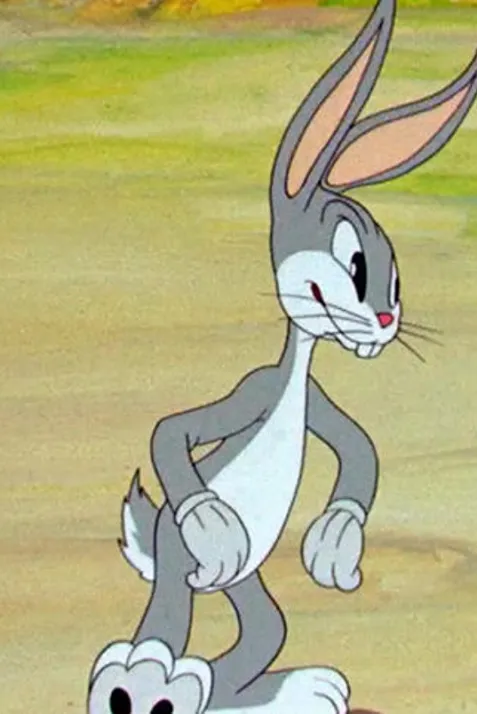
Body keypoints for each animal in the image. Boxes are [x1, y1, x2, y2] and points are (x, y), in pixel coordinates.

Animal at [87, 0, 477, 712]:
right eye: (355, 266)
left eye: (396, 284)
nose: (386, 321)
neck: (296, 379)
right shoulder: (256, 387)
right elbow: (170, 432)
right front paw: (214, 521)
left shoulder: (317, 402)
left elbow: (360, 451)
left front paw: (334, 544)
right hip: (182, 561)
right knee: (173, 607)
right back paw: (147, 683)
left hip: (247, 588)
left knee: (266, 630)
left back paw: (283, 688)